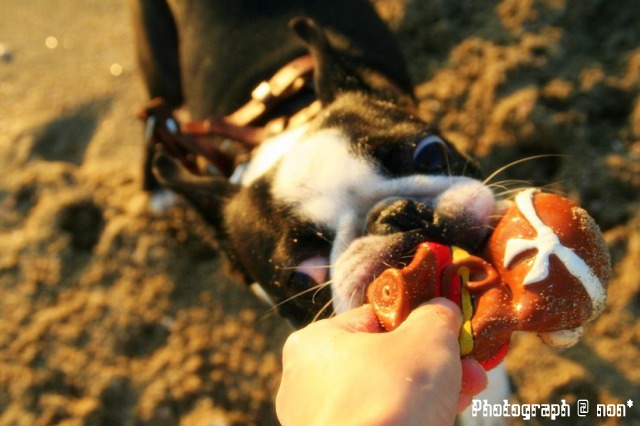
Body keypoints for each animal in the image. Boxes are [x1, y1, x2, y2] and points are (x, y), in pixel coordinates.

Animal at [130, 0, 507, 420]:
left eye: (430, 153)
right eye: (302, 276)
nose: (396, 215)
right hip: (158, 63)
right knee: (154, 118)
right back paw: (156, 186)